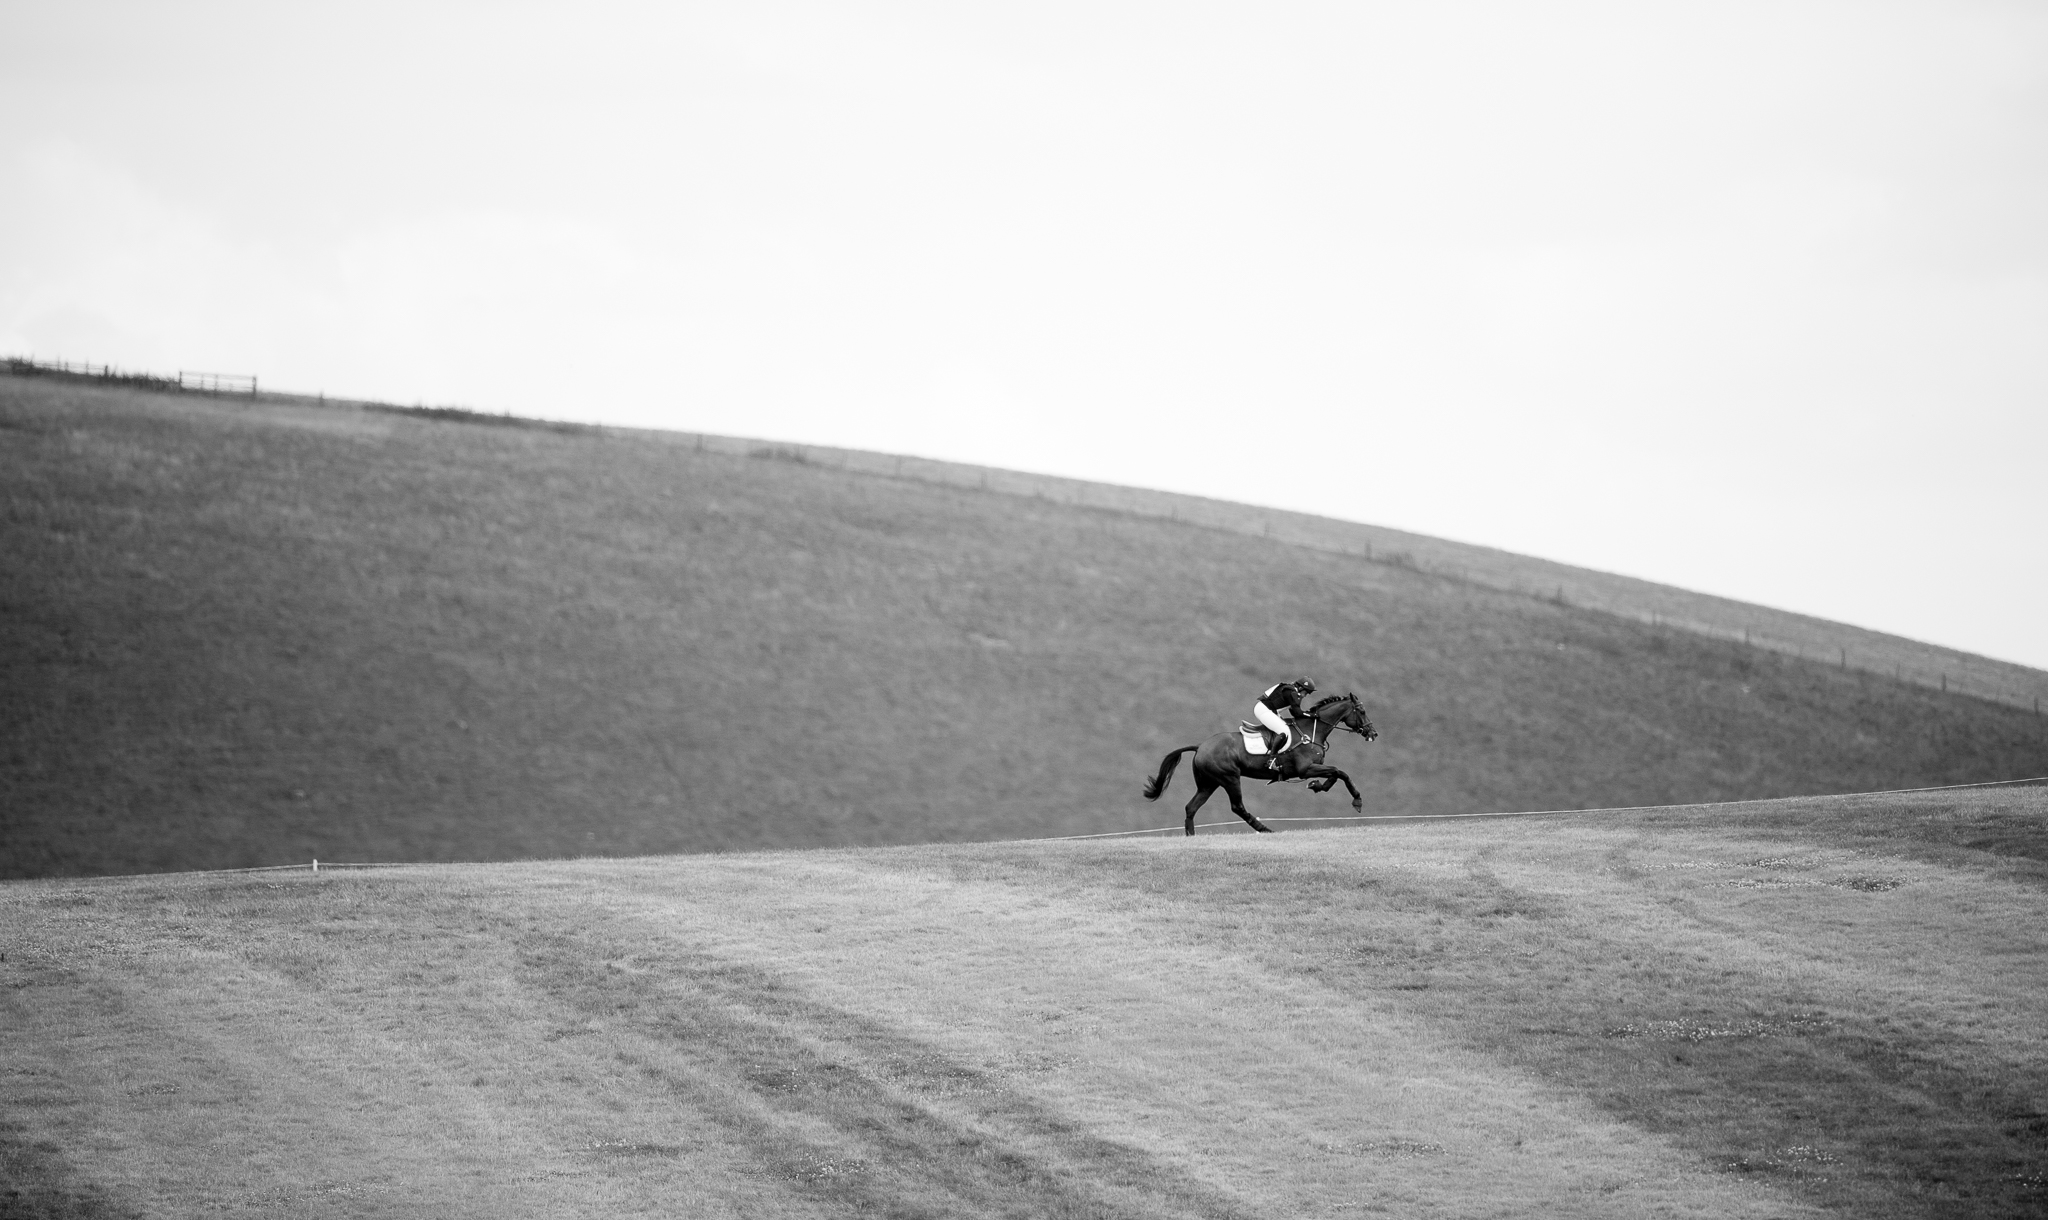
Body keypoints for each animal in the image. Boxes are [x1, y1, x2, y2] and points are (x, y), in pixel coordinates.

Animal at [1138, 691, 1376, 835]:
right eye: (1362, 711)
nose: (1373, 733)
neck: (1311, 730)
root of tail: (1200, 746)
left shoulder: (1310, 769)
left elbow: (1335, 774)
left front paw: (1318, 786)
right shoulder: (1305, 769)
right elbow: (1340, 772)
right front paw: (1357, 800)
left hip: (1208, 783)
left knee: (1191, 807)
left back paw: (1192, 836)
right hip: (1229, 777)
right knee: (1237, 806)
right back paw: (1264, 829)